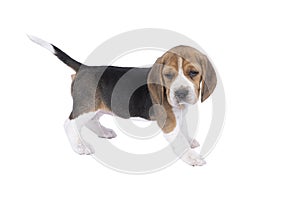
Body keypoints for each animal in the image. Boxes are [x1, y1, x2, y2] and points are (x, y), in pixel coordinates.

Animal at [28, 35, 216, 166]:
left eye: (193, 73)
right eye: (168, 75)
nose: (181, 93)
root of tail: (84, 68)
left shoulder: (179, 115)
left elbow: (184, 130)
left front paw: (190, 140)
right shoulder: (169, 121)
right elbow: (179, 140)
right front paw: (192, 157)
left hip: (100, 107)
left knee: (90, 121)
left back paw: (103, 132)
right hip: (87, 107)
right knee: (69, 124)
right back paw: (80, 147)